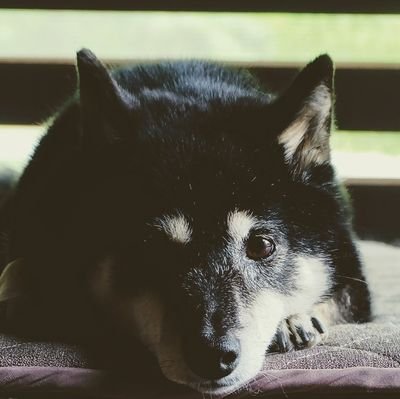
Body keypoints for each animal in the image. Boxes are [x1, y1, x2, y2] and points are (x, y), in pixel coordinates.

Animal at [0, 50, 372, 396]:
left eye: (262, 245)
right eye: (151, 249)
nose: (213, 356)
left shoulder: (355, 284)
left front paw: (293, 319)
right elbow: (21, 271)